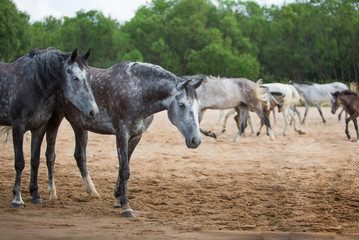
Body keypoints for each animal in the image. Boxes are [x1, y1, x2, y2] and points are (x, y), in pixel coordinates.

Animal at [0, 48, 99, 208]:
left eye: (89, 77)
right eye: (75, 78)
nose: (93, 111)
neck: (32, 84)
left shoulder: (39, 127)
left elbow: (35, 160)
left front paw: (35, 195)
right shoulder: (18, 128)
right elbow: (19, 162)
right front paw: (17, 198)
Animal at [42, 61, 202, 218]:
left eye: (197, 106)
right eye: (182, 105)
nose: (196, 140)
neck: (138, 92)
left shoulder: (135, 137)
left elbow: (122, 168)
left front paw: (118, 199)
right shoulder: (121, 134)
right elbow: (125, 170)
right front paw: (126, 206)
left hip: (79, 124)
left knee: (80, 156)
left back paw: (92, 192)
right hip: (55, 118)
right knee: (50, 155)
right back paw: (52, 193)